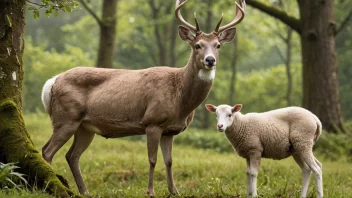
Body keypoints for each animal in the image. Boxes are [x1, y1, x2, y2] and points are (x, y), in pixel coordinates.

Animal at [40, 0, 245, 196]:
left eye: (218, 45)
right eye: (197, 45)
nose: (210, 60)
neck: (180, 99)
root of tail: (51, 82)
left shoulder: (170, 130)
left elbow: (169, 161)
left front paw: (174, 191)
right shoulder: (152, 122)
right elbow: (152, 159)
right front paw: (150, 191)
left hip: (85, 126)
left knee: (71, 156)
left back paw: (85, 191)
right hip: (66, 117)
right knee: (47, 151)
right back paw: (54, 186)